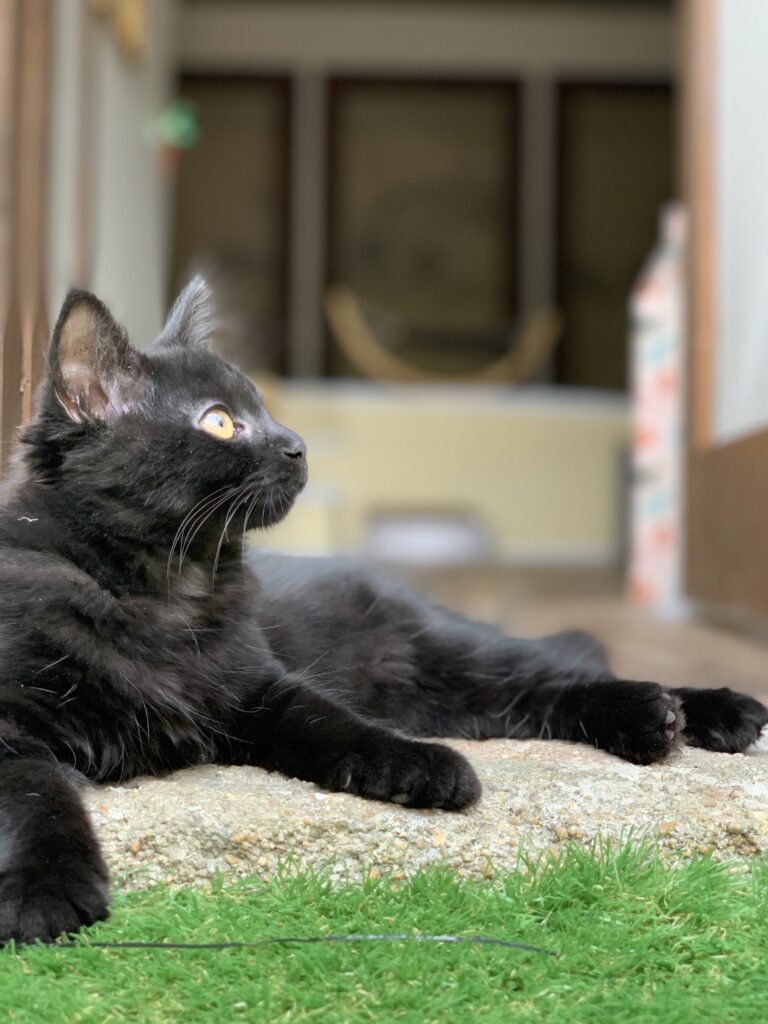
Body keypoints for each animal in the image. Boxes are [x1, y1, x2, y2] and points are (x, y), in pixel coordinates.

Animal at [0, 280, 765, 942]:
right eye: (219, 422)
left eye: (264, 409)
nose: (297, 445)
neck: (164, 592)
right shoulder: (13, 731)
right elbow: (35, 798)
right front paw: (47, 891)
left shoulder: (263, 686)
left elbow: (337, 724)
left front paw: (426, 768)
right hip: (445, 693)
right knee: (541, 693)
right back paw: (663, 718)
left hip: (444, 653)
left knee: (558, 671)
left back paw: (701, 711)